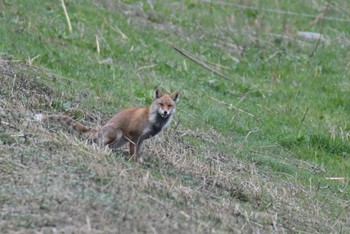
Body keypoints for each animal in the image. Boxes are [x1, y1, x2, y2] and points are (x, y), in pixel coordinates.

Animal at [35, 88, 179, 163]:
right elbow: (133, 152)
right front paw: (132, 161)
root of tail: (100, 128)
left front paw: (139, 162)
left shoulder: (141, 139)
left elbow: (139, 153)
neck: (153, 121)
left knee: (107, 146)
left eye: (169, 105)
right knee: (99, 144)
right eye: (161, 104)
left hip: (121, 141)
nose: (165, 112)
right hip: (118, 134)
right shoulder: (134, 136)